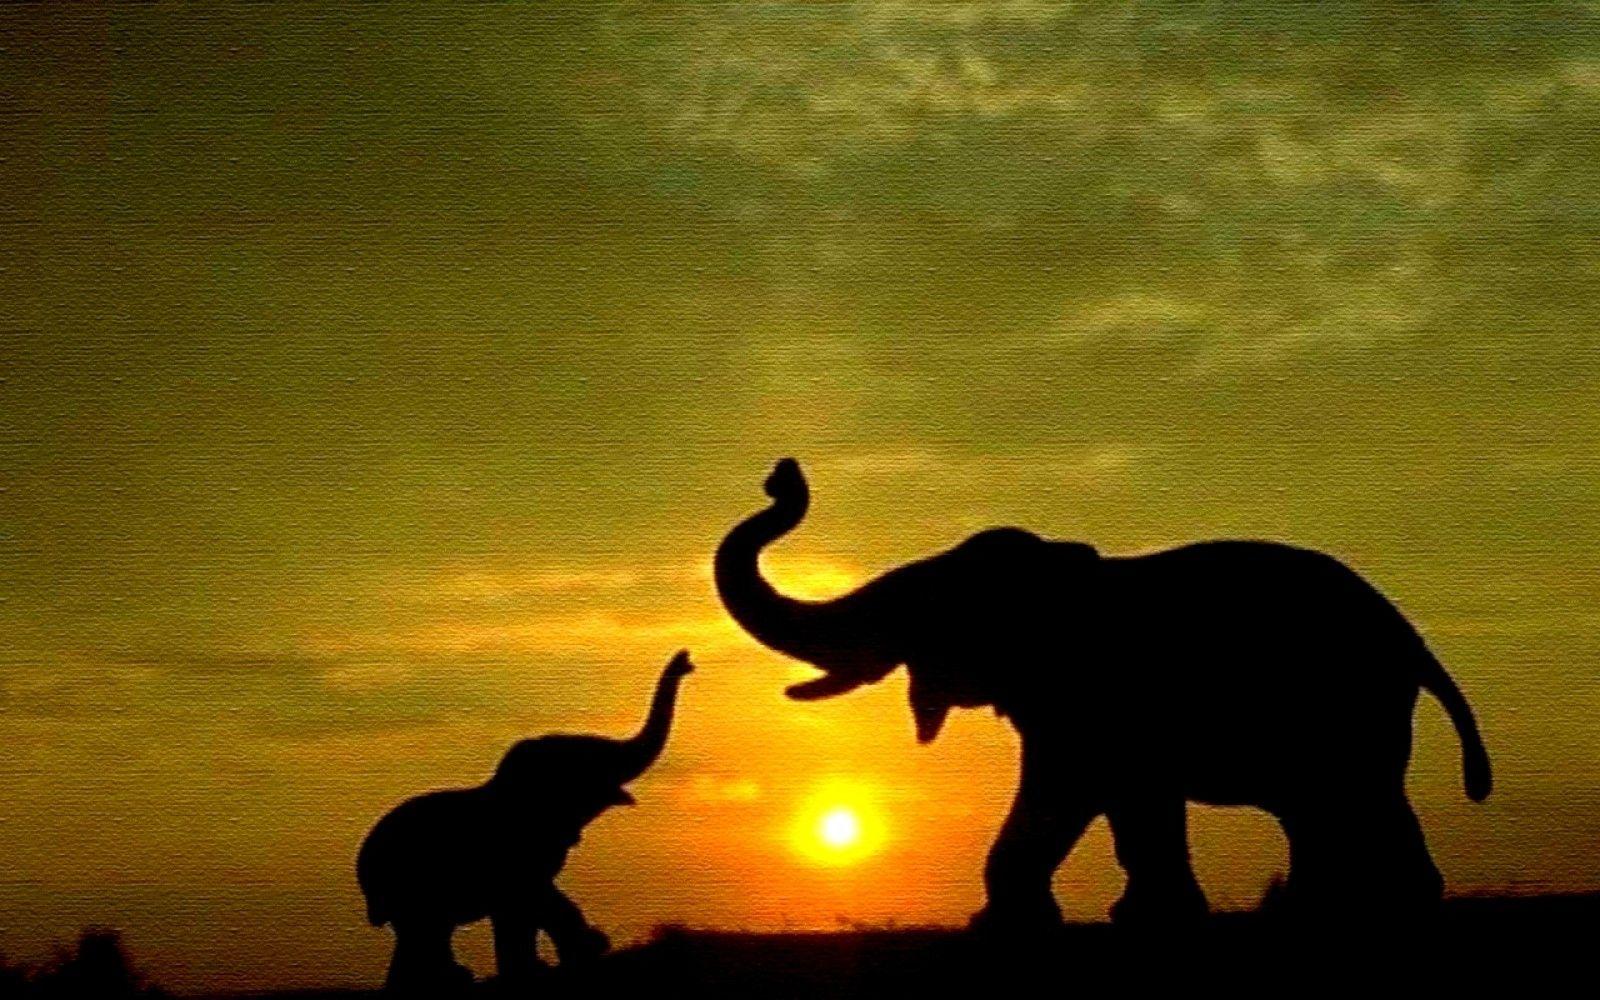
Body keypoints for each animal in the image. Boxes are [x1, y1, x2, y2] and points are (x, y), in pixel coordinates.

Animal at [356, 651, 694, 991]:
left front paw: (567, 957)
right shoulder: (518, 853)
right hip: (407, 886)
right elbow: (531, 899)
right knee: (424, 932)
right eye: (590, 760)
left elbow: (531, 905)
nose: (686, 661)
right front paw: (567, 958)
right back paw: (453, 978)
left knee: (425, 934)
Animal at [715, 459, 1491, 930]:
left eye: (931, 608)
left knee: (1352, 802)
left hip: (1354, 704)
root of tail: (1410, 636)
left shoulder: (1093, 695)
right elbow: (1117, 800)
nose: (780, 476)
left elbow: (1074, 788)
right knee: (1328, 811)